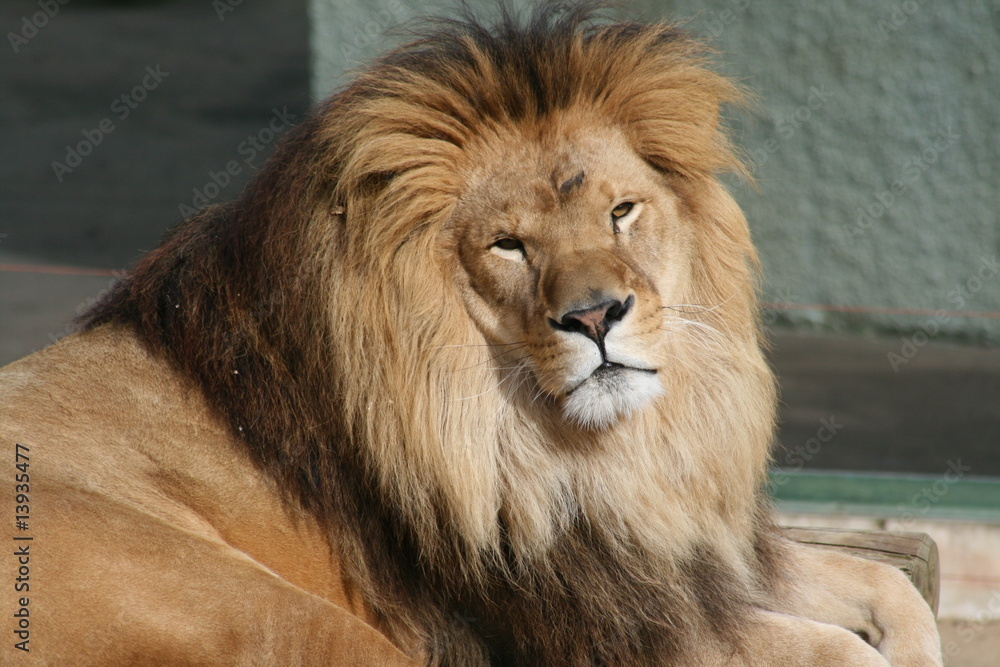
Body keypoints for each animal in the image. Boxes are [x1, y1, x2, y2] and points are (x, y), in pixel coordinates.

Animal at [0, 4, 941, 665]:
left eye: (621, 211)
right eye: (508, 244)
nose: (595, 316)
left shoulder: (682, 557)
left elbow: (894, 588)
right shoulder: (597, 625)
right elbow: (838, 647)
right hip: (283, 616)